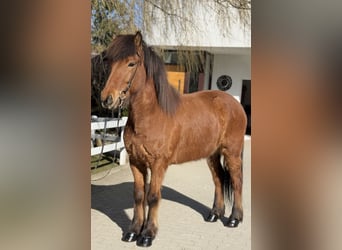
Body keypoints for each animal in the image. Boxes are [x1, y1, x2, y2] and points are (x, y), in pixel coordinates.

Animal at [100, 30, 247, 246]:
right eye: (109, 62)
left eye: (131, 63)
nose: (107, 99)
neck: (152, 114)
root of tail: (234, 104)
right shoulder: (136, 163)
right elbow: (138, 196)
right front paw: (133, 231)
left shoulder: (159, 164)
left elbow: (153, 197)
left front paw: (148, 235)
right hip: (212, 155)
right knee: (219, 179)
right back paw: (215, 214)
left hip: (232, 153)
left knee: (237, 182)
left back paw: (235, 219)